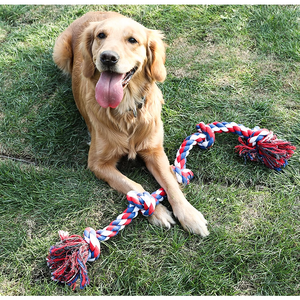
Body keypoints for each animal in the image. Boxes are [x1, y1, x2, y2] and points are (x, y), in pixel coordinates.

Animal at [52, 11, 209, 237]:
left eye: (133, 40)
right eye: (101, 35)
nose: (108, 57)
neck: (126, 111)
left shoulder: (154, 151)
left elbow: (171, 183)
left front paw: (190, 215)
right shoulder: (98, 164)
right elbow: (133, 185)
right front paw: (155, 210)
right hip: (59, 52)